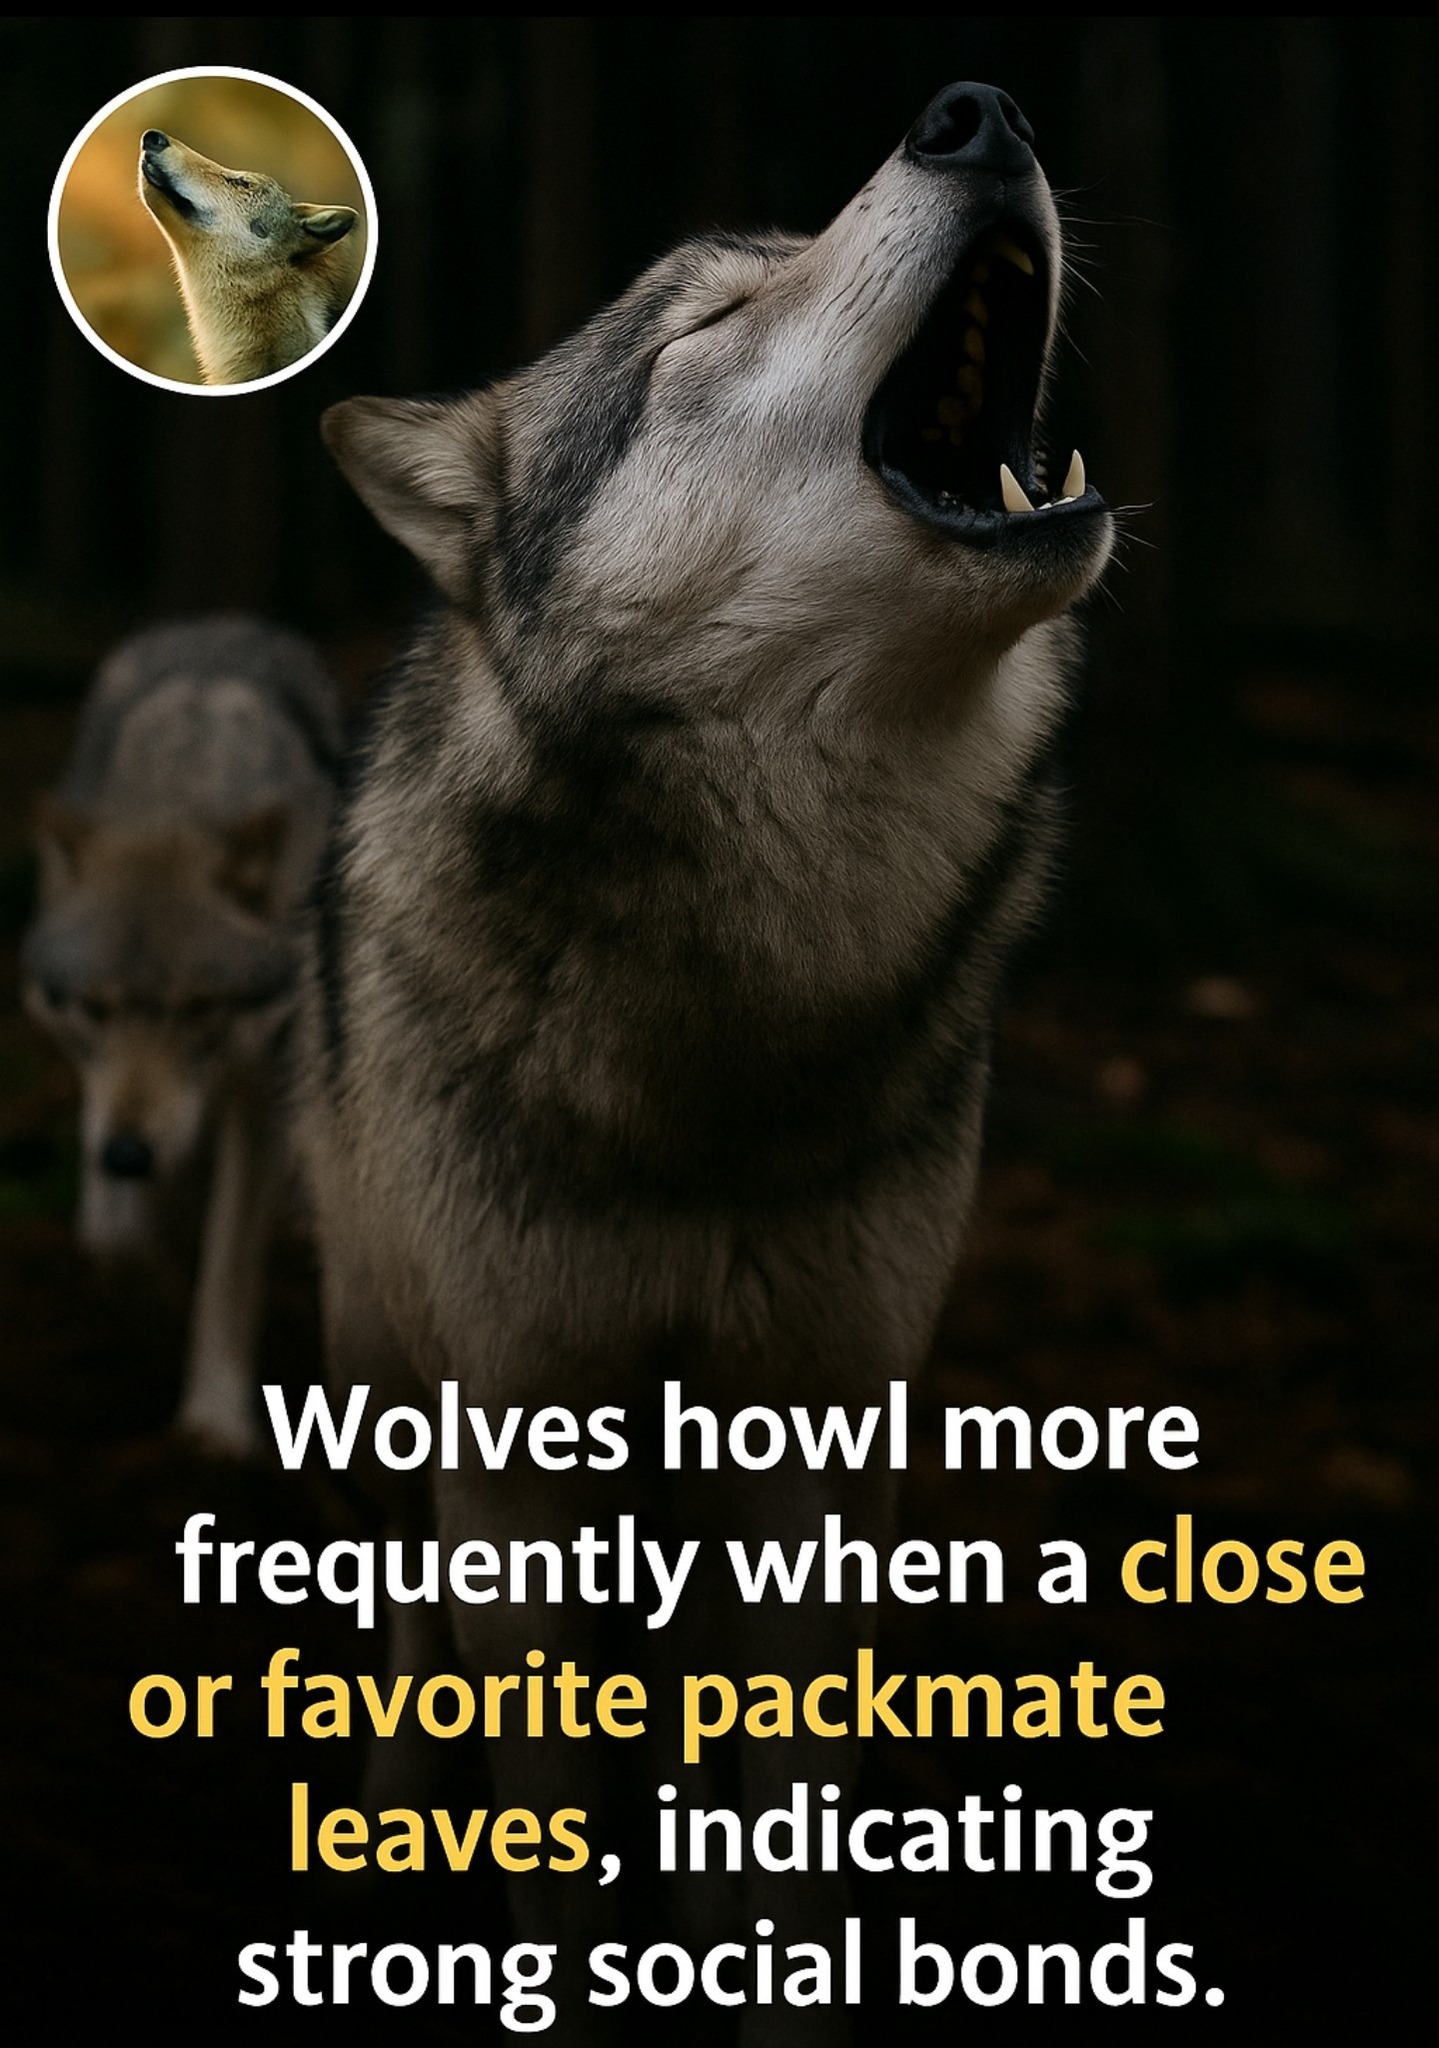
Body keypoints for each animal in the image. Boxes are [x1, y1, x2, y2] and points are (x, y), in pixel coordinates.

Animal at [23, 616, 343, 1456]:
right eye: (95, 1010)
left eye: (198, 1009)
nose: (129, 1155)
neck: (183, 783)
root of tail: (223, 621)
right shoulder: (106, 1102)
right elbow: (124, 1241)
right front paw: (138, 1277)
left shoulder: (262, 1087)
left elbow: (229, 1268)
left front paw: (214, 1423)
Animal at [302, 80, 1114, 2037]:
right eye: (708, 325)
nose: (975, 110)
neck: (734, 1023)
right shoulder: (515, 1472)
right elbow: (541, 1813)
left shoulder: (816, 1456)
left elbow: (773, 1830)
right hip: (386, 1368)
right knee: (405, 1637)